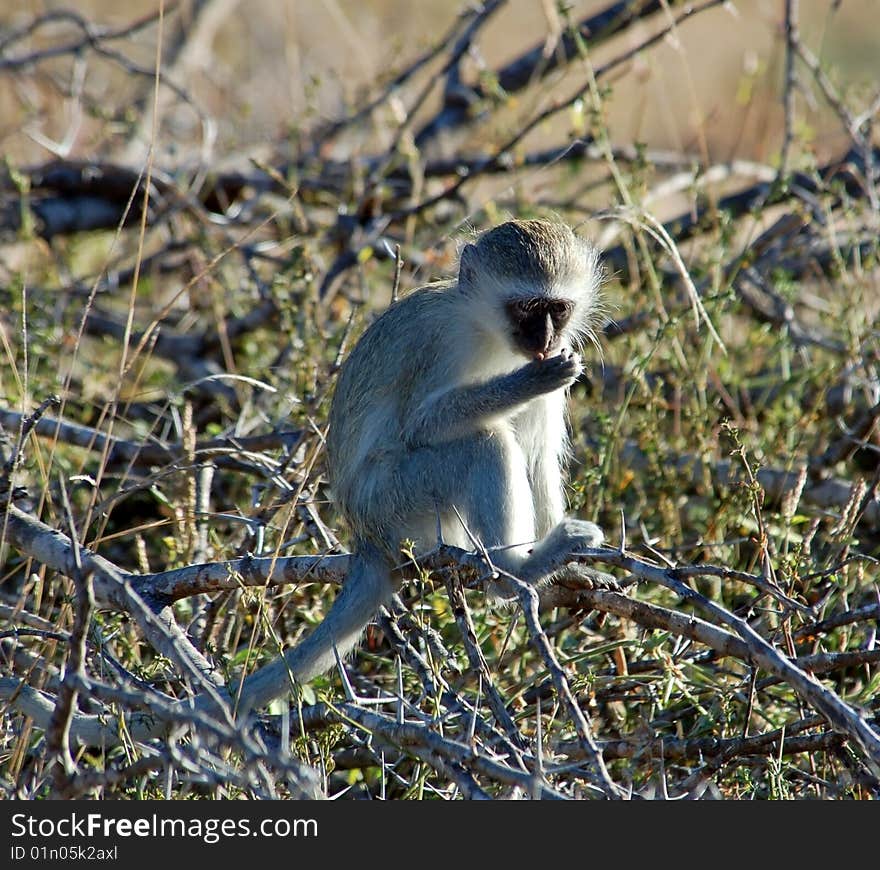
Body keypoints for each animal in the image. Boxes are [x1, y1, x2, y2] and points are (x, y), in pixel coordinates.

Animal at [237, 218, 600, 716]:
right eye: (527, 307)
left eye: (558, 309)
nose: (545, 340)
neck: (486, 330)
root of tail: (367, 538)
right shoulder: (439, 344)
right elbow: (420, 423)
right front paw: (525, 382)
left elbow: (540, 457)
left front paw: (574, 571)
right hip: (395, 499)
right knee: (484, 443)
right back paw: (512, 574)